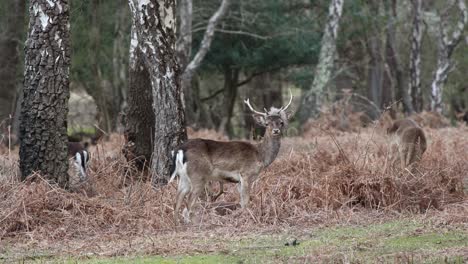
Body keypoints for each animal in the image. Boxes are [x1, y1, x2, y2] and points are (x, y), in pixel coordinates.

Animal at [168, 90, 292, 223]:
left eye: (281, 122)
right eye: (266, 123)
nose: (276, 130)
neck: (260, 155)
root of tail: (180, 149)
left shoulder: (239, 181)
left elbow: (242, 202)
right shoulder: (246, 174)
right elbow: (246, 202)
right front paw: (247, 218)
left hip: (183, 176)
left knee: (177, 199)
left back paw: (176, 223)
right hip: (198, 175)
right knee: (189, 201)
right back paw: (191, 223)